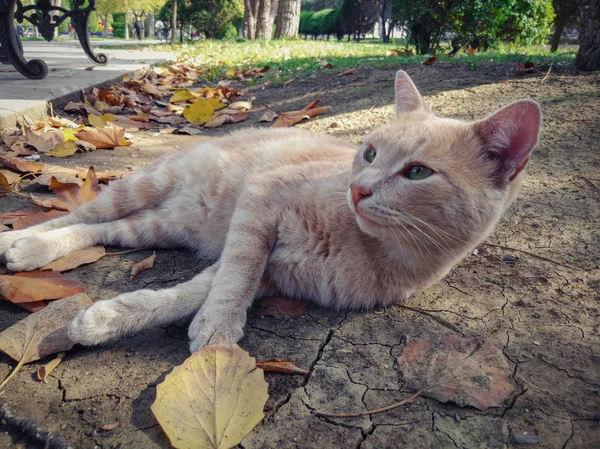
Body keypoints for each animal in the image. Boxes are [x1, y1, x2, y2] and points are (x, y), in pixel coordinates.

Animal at [0, 72, 544, 352]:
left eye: (416, 173)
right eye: (369, 152)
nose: (358, 189)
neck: (372, 249)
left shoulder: (274, 274)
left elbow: (190, 293)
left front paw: (108, 319)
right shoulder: (260, 207)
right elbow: (234, 276)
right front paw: (219, 324)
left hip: (157, 224)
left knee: (105, 230)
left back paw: (34, 249)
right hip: (146, 185)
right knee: (78, 217)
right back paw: (21, 244)